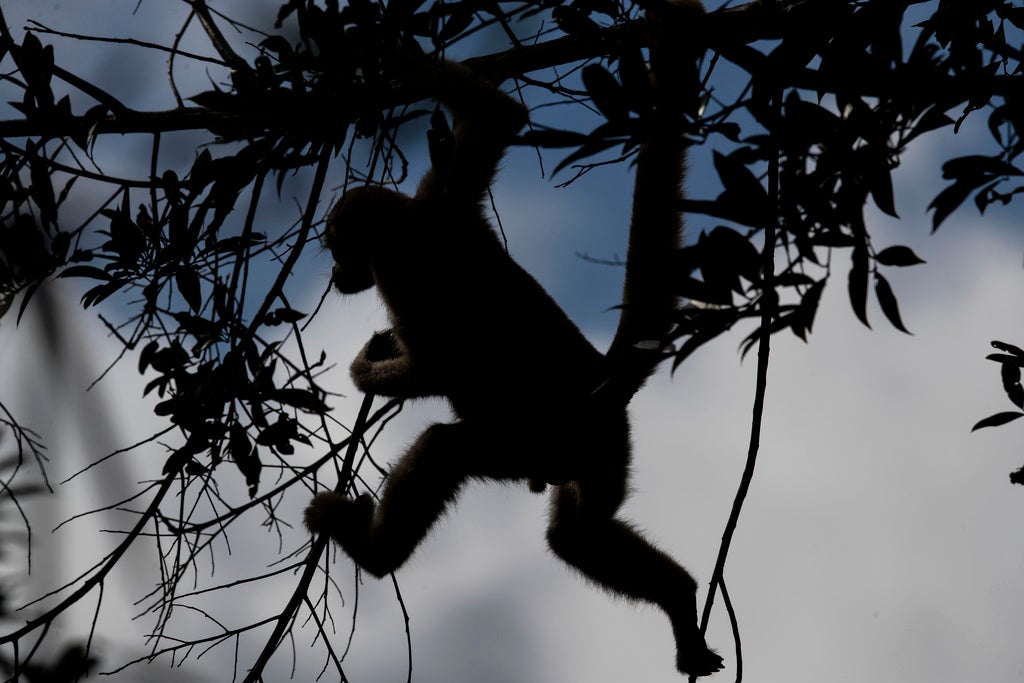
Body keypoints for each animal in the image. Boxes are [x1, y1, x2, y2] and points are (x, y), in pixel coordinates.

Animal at [304, 4, 722, 677]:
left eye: (341, 250)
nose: (340, 275)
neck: (412, 224)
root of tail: (601, 380)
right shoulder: (442, 193)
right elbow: (500, 115)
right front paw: (374, 39)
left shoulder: (399, 262)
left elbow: (437, 364)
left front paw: (368, 368)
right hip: (599, 449)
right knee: (576, 535)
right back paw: (681, 599)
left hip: (532, 440)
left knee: (445, 449)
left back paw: (373, 553)